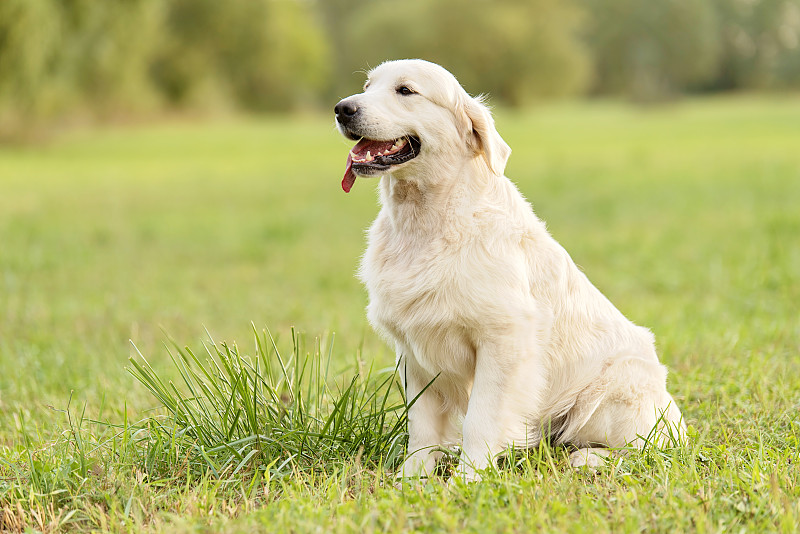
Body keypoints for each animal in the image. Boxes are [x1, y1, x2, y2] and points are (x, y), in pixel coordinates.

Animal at [334, 60, 684, 484]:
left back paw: (589, 459)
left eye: (406, 90)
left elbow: (481, 419)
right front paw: (412, 477)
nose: (342, 108)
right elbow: (421, 424)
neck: (427, 220)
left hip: (614, 387)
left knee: (647, 451)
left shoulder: (503, 341)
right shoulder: (413, 349)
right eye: (368, 85)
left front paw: (468, 478)